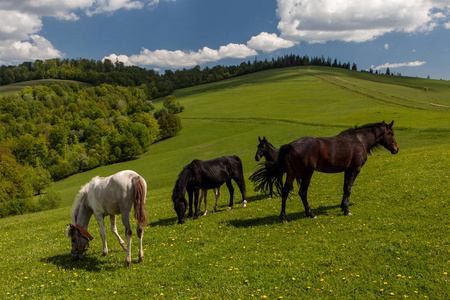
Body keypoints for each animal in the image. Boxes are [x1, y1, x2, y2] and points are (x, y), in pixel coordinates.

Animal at [251, 121, 400, 223]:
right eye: (391, 134)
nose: (396, 149)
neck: (359, 140)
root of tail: (290, 146)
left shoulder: (347, 170)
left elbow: (345, 188)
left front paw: (342, 206)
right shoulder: (355, 169)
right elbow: (349, 189)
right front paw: (347, 210)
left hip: (291, 174)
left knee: (285, 192)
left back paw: (283, 217)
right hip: (306, 174)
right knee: (302, 192)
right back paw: (311, 214)